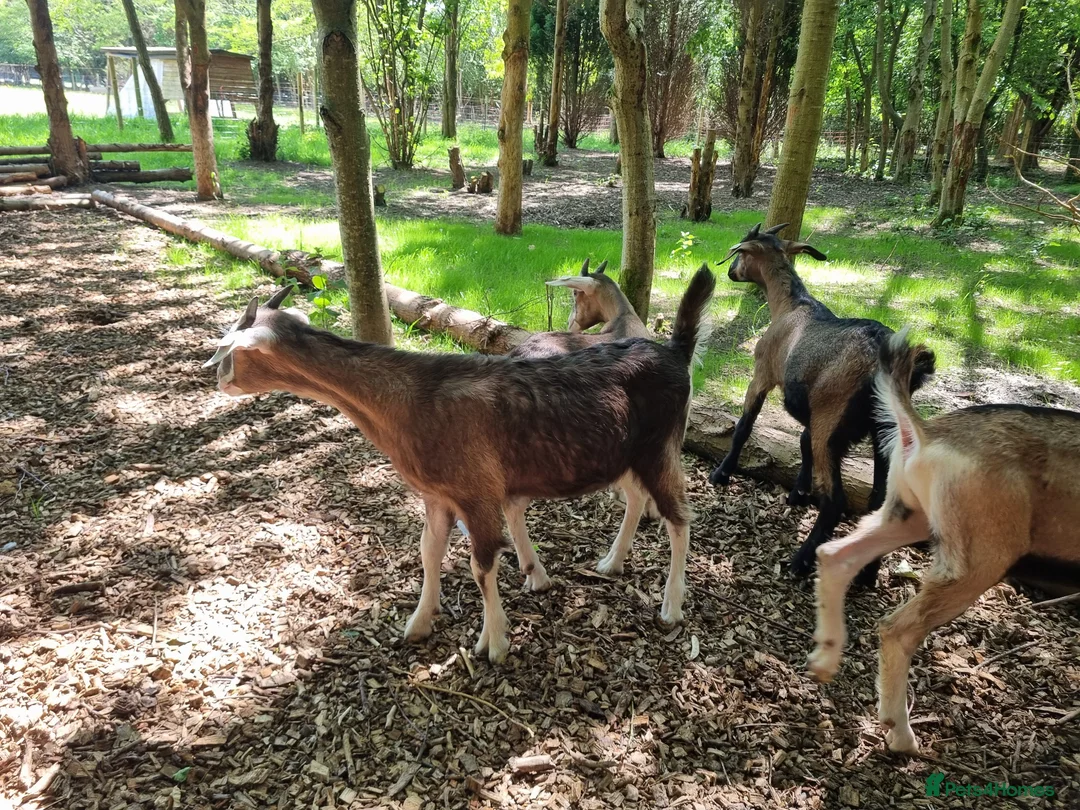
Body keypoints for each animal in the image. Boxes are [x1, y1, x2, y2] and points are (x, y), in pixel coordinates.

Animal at [204, 268, 716, 663]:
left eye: (232, 351)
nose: (216, 380)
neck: (410, 400)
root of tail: (675, 352)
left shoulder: (476, 491)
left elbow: (481, 565)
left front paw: (494, 643)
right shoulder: (438, 495)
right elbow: (429, 553)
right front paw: (419, 623)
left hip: (659, 448)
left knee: (679, 518)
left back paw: (671, 607)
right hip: (624, 456)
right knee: (636, 499)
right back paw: (611, 562)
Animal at [708, 223, 935, 586]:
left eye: (741, 252)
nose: (731, 271)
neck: (791, 305)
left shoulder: (763, 374)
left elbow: (745, 426)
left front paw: (722, 473)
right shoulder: (811, 413)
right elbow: (802, 443)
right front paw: (799, 492)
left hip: (833, 422)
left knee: (835, 501)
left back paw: (801, 561)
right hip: (883, 430)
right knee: (880, 498)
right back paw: (868, 573)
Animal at [808, 329, 1080, 753]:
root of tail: (925, 433)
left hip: (909, 514)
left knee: (836, 555)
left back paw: (824, 660)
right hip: (979, 555)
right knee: (897, 628)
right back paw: (901, 734)